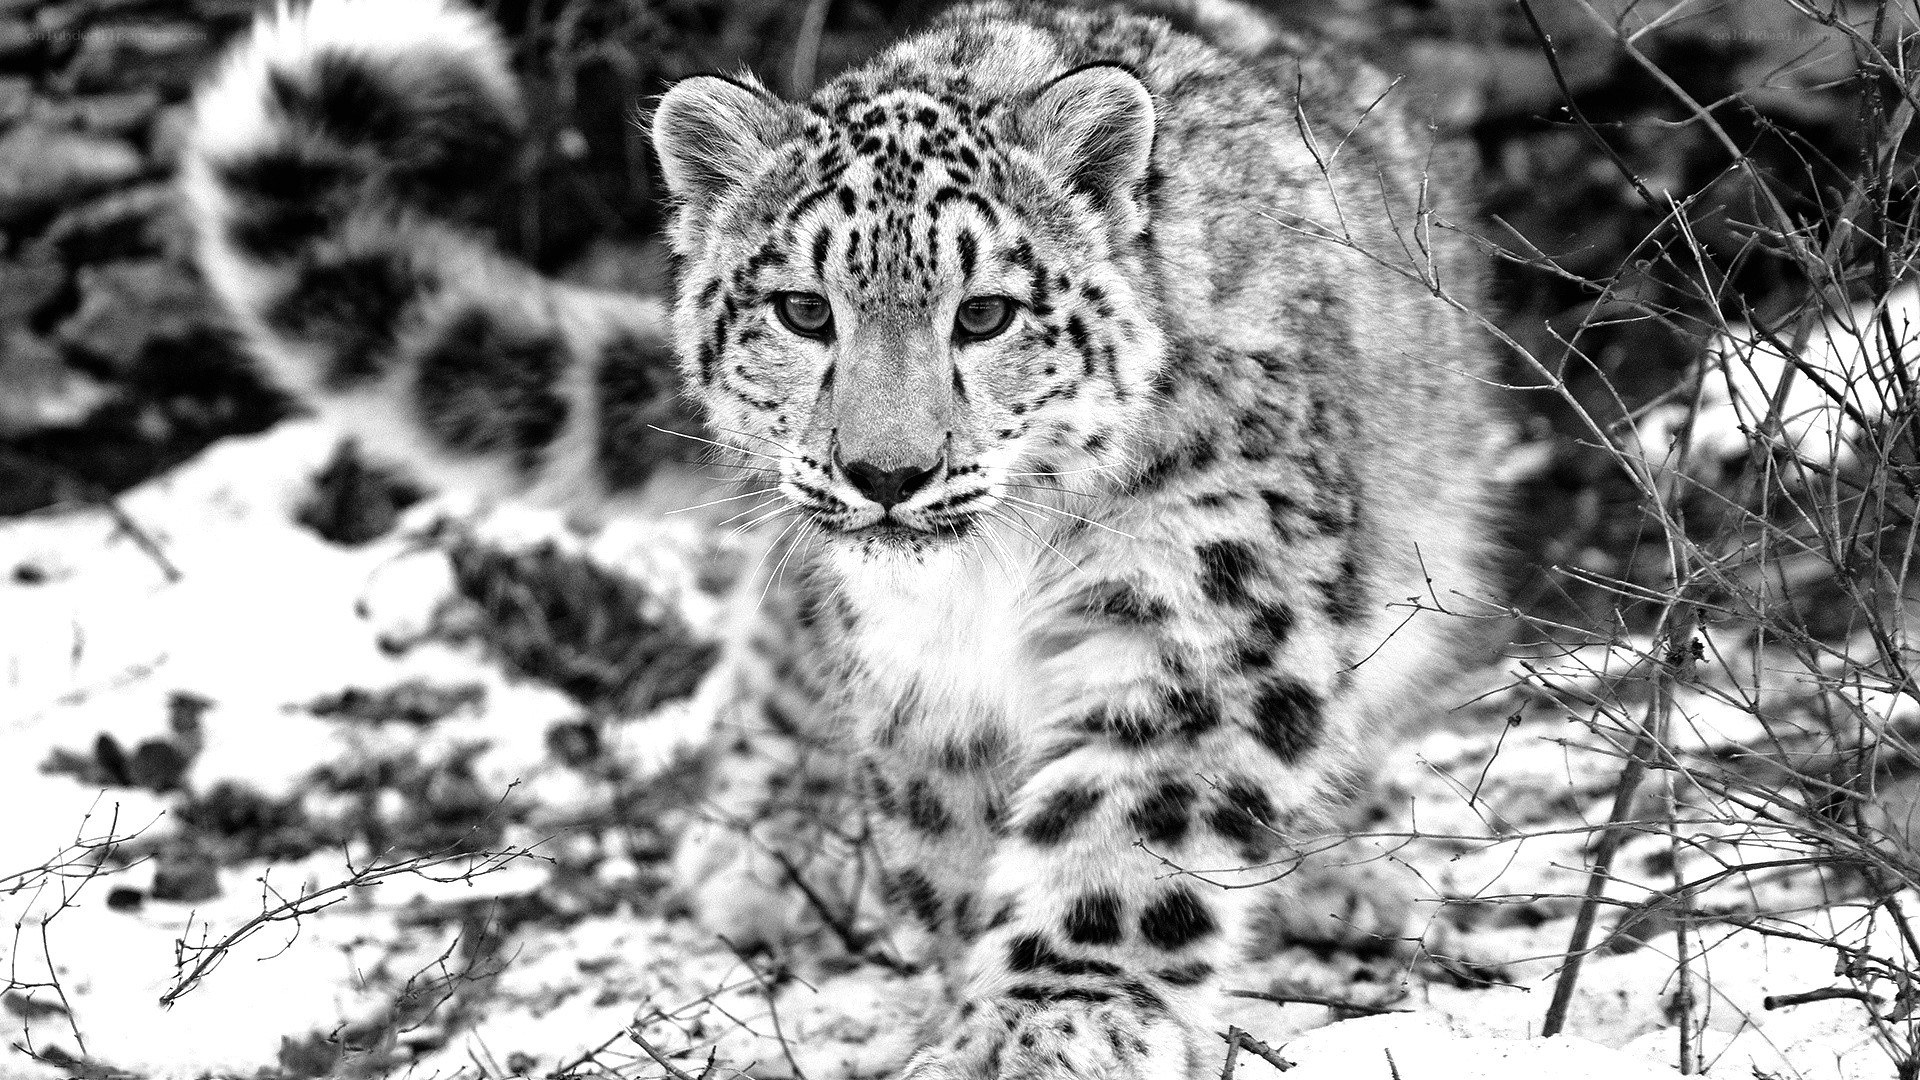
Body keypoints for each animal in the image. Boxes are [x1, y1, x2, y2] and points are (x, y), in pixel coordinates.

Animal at [180, 0, 1499, 1076]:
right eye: (803, 311)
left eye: (988, 313)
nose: (887, 474)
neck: (987, 583)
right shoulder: (921, 683)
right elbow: (953, 844)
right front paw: (965, 999)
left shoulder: (1196, 610)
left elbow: (1127, 831)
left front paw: (1049, 1027)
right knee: (776, 650)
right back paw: (765, 849)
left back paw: (1342, 878)